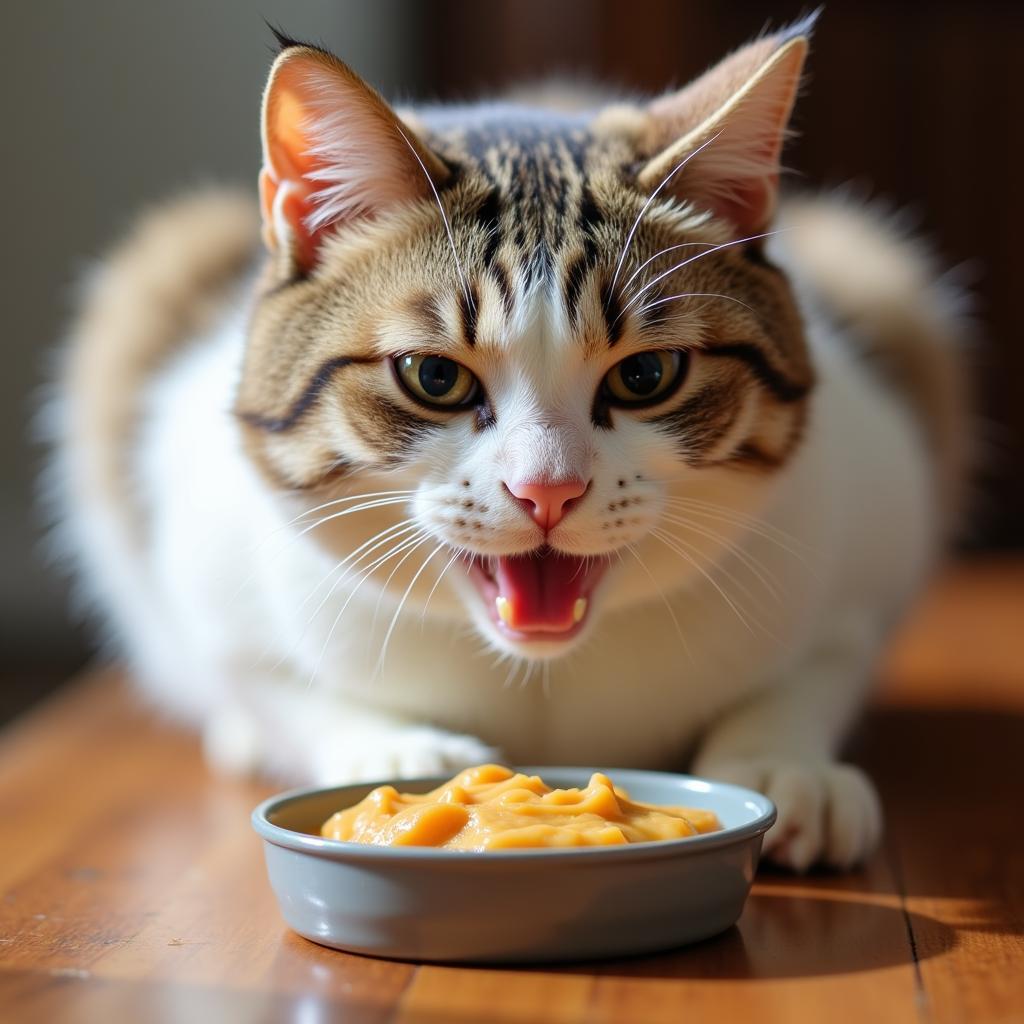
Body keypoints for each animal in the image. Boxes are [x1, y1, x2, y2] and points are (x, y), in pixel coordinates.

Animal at [49, 12, 966, 868]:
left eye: (647, 375)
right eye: (433, 376)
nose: (547, 489)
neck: (543, 684)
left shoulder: (868, 538)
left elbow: (813, 673)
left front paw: (782, 765)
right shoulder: (202, 575)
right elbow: (267, 679)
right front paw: (397, 752)